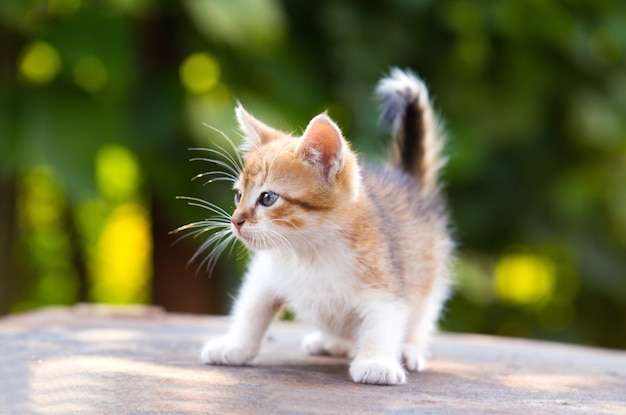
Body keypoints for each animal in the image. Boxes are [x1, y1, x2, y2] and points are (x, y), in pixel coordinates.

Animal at [190, 69, 448, 386]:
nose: (236, 221)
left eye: (268, 198)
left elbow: (383, 323)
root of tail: (408, 182)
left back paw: (409, 350)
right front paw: (235, 346)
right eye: (239, 196)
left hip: (430, 279)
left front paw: (377, 362)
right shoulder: (266, 275)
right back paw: (331, 342)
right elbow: (251, 309)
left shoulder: (385, 280)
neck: (311, 250)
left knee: (421, 316)